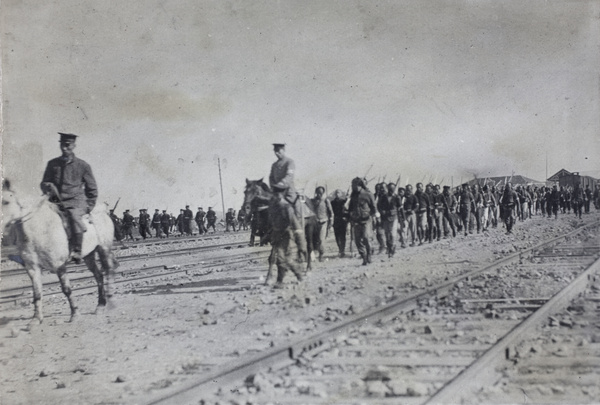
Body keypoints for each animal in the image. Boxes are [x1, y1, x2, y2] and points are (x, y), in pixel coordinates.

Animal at [1, 178, 118, 326]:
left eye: (6, 202)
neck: (39, 227)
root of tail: (104, 212)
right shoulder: (32, 268)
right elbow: (37, 293)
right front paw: (36, 319)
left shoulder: (59, 265)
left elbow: (66, 289)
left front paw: (75, 314)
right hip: (89, 256)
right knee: (99, 276)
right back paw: (100, 306)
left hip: (104, 249)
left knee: (109, 270)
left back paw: (111, 302)